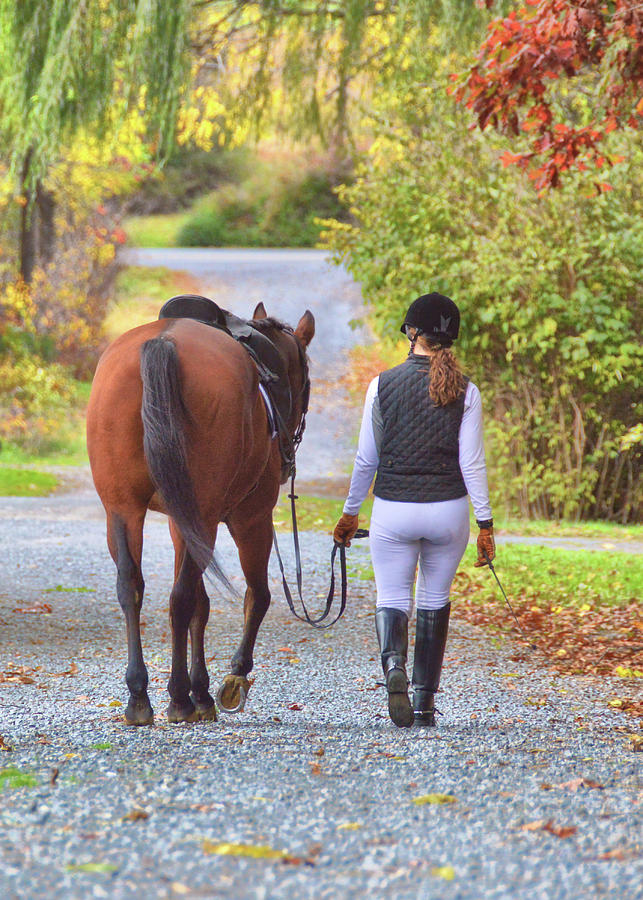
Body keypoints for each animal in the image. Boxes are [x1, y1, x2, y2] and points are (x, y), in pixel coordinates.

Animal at [85, 300, 316, 724]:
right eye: (305, 382)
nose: (288, 455)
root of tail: (162, 343)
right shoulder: (251, 518)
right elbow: (256, 596)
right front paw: (230, 680)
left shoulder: (183, 522)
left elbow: (201, 604)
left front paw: (202, 690)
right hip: (211, 516)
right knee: (180, 599)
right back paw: (177, 696)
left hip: (124, 511)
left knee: (132, 588)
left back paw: (139, 696)